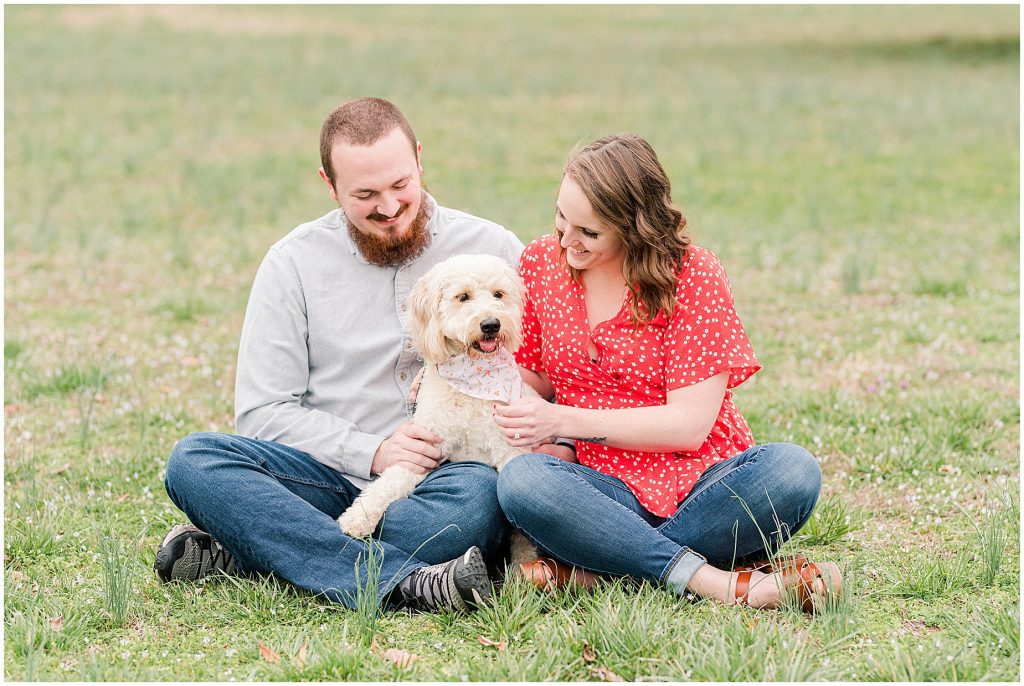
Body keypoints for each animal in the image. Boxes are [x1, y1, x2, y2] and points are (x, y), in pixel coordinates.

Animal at [337, 253, 544, 569]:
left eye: (498, 294)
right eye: (463, 297)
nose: (491, 324)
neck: (471, 385)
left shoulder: (510, 447)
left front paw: (525, 560)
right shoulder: (423, 444)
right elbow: (390, 480)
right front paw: (358, 517)